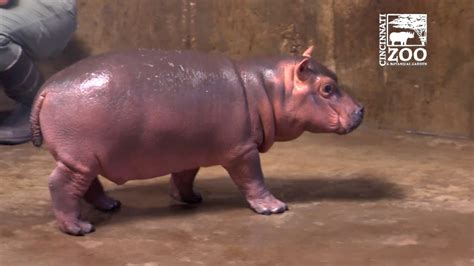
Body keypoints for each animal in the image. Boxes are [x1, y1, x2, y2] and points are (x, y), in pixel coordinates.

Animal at [30, 46, 362, 235]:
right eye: (327, 88)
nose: (361, 110)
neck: (264, 89)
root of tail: (46, 89)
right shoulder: (242, 151)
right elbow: (253, 179)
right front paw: (274, 208)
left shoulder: (187, 149)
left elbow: (184, 177)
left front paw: (190, 199)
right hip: (78, 158)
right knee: (61, 185)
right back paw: (80, 228)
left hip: (87, 158)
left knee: (89, 185)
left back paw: (111, 205)